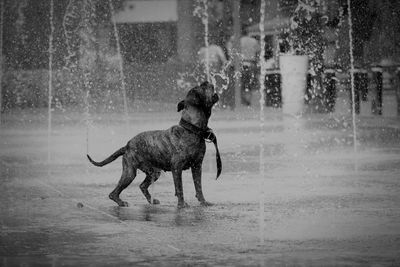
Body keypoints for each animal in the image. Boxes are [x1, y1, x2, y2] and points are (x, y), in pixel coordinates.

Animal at [86, 81, 222, 209]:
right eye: (200, 88)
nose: (205, 81)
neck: (192, 130)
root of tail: (127, 145)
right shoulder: (177, 168)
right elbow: (179, 188)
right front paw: (182, 205)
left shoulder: (197, 166)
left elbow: (199, 187)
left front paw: (203, 202)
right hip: (130, 172)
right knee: (114, 193)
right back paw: (121, 202)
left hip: (153, 172)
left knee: (142, 185)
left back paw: (151, 200)